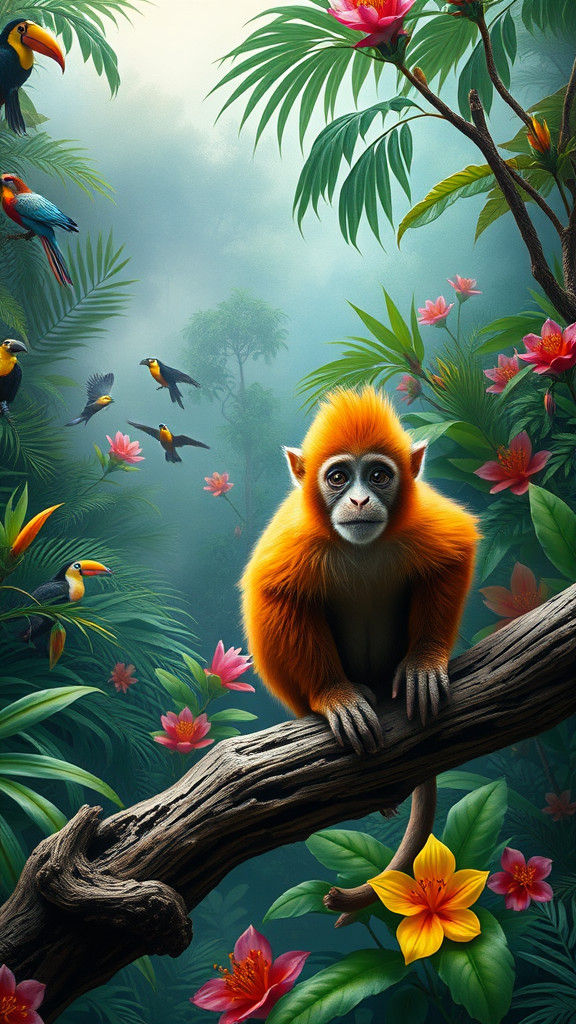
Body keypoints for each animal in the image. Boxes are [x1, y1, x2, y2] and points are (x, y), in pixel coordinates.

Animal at [240, 386, 479, 891]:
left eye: (378, 475)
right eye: (337, 477)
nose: (359, 499)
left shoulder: (422, 521)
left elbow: (454, 553)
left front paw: (424, 663)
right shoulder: (298, 537)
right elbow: (279, 593)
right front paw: (335, 696)